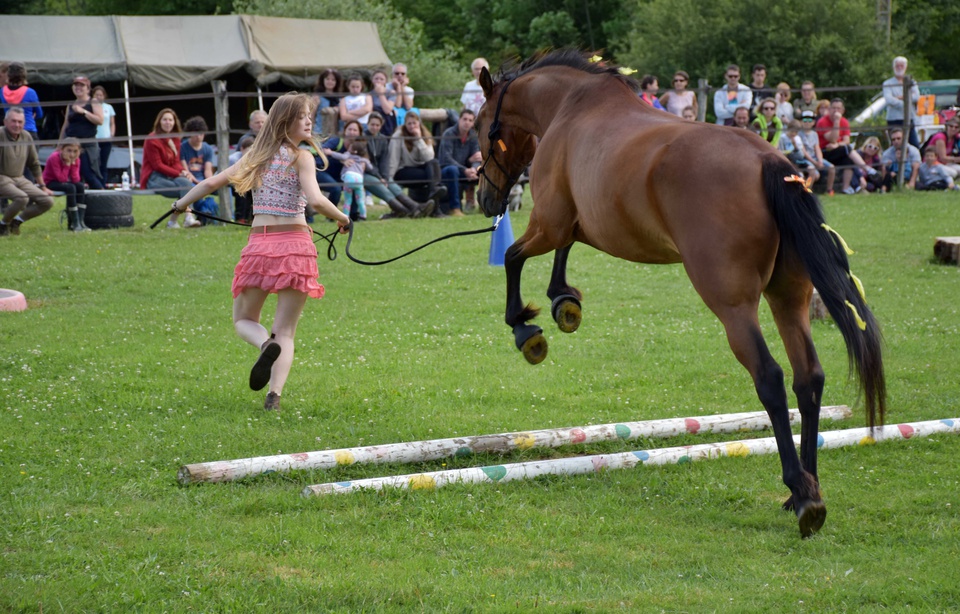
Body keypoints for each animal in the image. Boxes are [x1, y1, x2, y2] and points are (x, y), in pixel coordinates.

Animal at [476, 50, 888, 540]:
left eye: (481, 124)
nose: (485, 198)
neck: (569, 107)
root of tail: (768, 160)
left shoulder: (550, 221)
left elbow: (514, 257)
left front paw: (526, 327)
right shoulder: (574, 223)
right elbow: (565, 249)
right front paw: (563, 301)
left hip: (732, 306)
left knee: (769, 377)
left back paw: (802, 494)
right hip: (789, 299)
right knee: (808, 377)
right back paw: (805, 489)